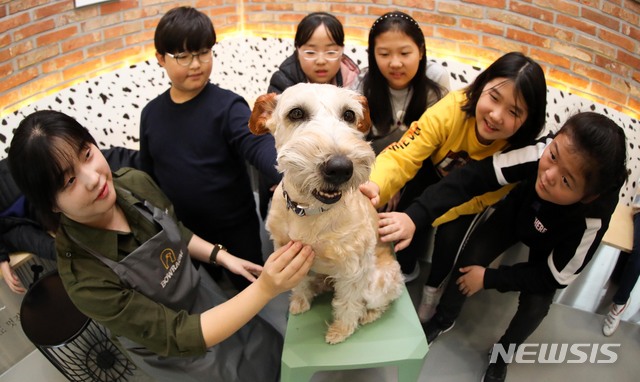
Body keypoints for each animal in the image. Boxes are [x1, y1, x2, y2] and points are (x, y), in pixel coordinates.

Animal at [249, 83, 402, 344]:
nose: (340, 168)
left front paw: (341, 330)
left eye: (349, 115)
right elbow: (300, 283)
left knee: (379, 302)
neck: (308, 211)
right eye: (296, 113)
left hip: (379, 283)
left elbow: (348, 304)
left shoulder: (354, 270)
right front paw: (300, 301)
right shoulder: (286, 249)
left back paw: (368, 315)